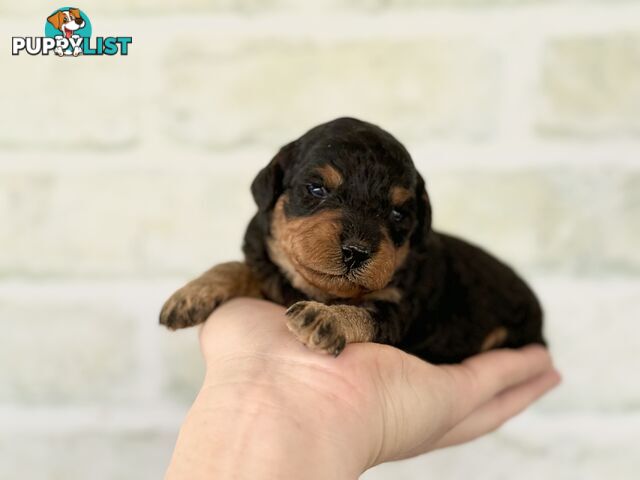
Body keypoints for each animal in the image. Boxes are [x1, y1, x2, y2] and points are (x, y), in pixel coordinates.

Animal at [160, 117, 544, 364]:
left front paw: (323, 318)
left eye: (398, 213)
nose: (356, 252)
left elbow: (364, 313)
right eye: (316, 189)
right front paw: (190, 294)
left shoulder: (398, 310)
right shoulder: (269, 272)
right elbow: (238, 266)